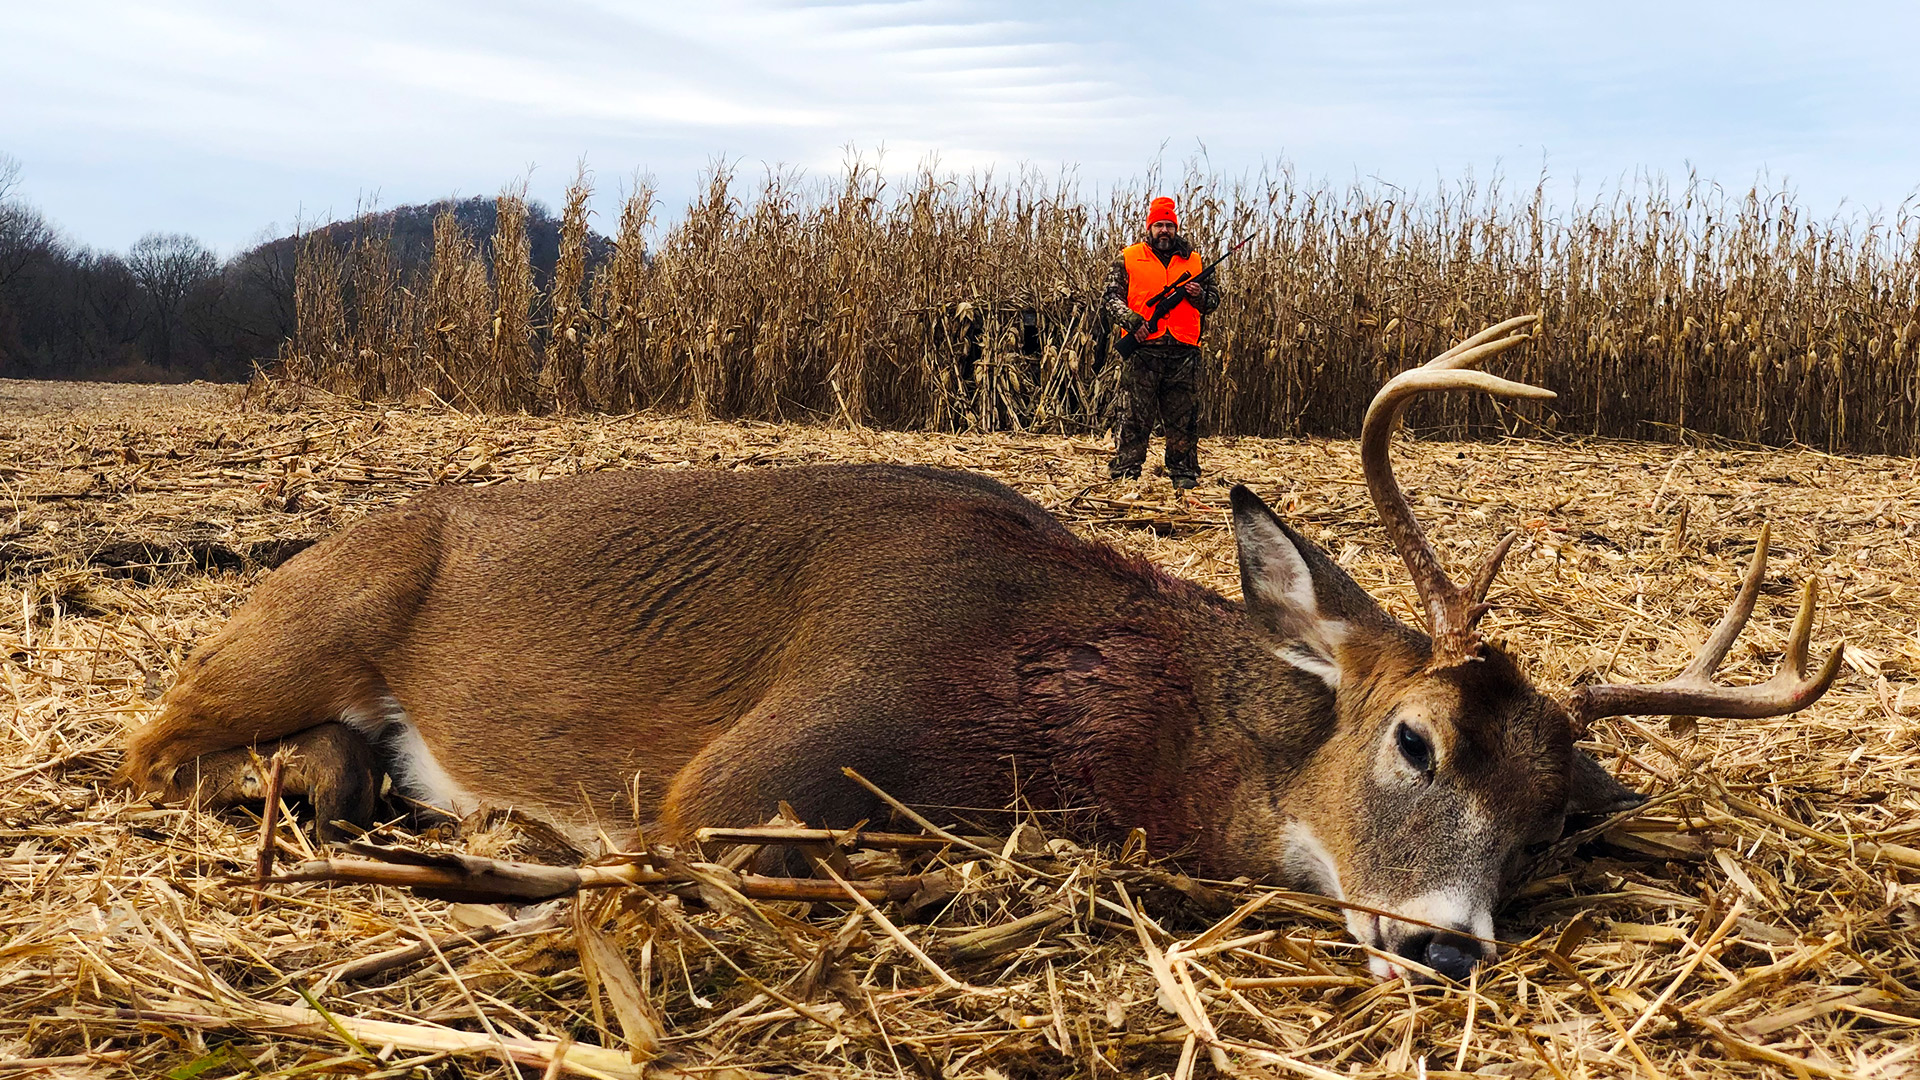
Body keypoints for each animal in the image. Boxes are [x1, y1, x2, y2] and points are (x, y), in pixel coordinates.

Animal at [123, 315, 1843, 980]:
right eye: (1415, 739)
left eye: (1550, 824)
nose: (1443, 943)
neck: (1087, 717)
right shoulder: (753, 771)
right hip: (305, 618)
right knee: (151, 745)